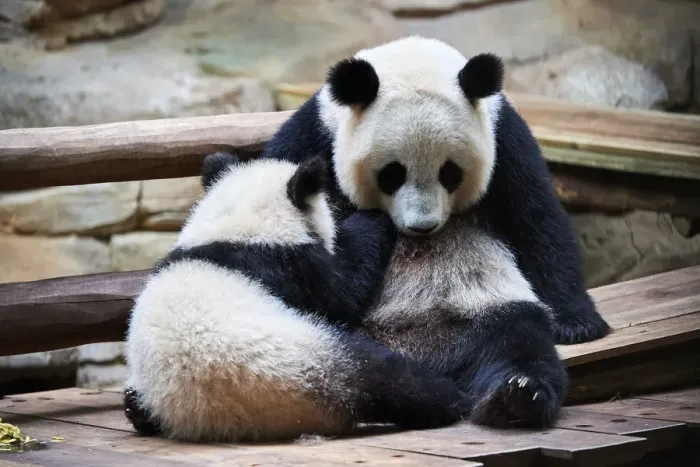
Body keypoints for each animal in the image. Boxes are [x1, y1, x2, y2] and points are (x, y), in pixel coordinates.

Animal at [122, 151, 469, 442]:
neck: (241, 224)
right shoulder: (295, 268)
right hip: (318, 353)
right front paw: (372, 220)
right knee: (389, 378)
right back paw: (450, 400)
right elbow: (344, 290)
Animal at [261, 36, 611, 429]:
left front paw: (578, 323)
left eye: (450, 172)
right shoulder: (314, 138)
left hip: (484, 313)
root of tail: (423, 353)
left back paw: (516, 398)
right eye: (392, 173)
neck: (414, 61)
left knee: (519, 344)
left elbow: (537, 220)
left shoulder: (505, 140)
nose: (422, 226)